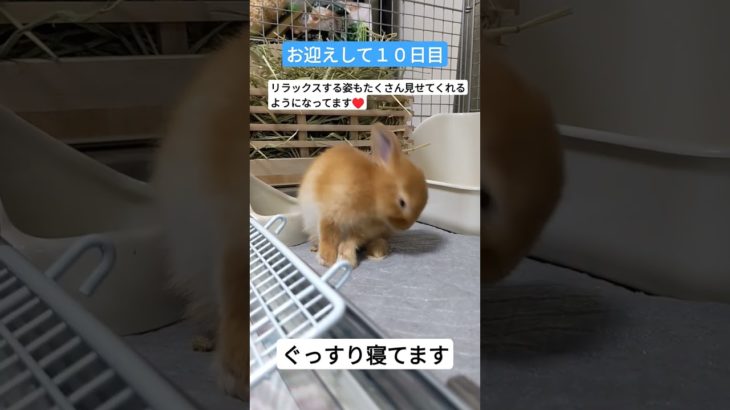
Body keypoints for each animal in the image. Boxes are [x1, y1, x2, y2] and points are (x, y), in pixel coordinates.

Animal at [298, 123, 428, 268]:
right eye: (402, 202)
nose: (405, 227)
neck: (373, 190)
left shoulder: (361, 230)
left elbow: (350, 242)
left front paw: (345, 259)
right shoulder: (331, 214)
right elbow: (328, 236)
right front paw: (326, 260)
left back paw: (378, 252)